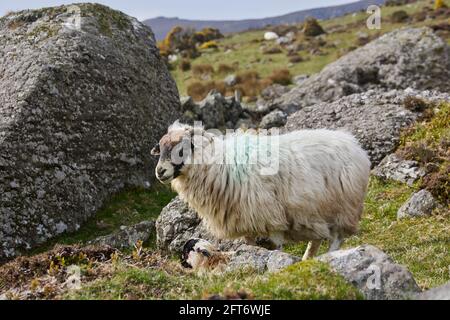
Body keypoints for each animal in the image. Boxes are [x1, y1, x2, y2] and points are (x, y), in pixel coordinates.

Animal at [153, 120, 370, 260]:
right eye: (160, 149)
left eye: (181, 149)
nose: (159, 171)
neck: (216, 164)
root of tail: (354, 144)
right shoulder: (243, 219)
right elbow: (249, 245)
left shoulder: (271, 215)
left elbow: (276, 246)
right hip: (317, 213)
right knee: (317, 239)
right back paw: (308, 259)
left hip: (344, 207)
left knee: (337, 238)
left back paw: (331, 257)